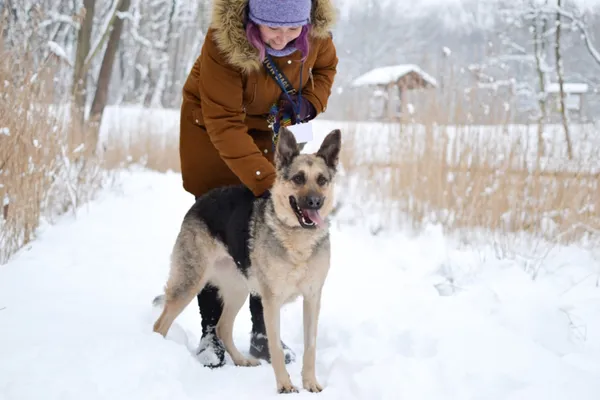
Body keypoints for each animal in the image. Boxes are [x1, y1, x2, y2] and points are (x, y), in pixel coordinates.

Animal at [154, 128, 342, 394]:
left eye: (322, 180)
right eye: (298, 178)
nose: (315, 202)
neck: (297, 239)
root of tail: (203, 200)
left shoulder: (312, 298)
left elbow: (311, 347)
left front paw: (310, 382)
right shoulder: (271, 301)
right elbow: (275, 347)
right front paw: (284, 385)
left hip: (239, 289)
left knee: (222, 326)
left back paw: (241, 360)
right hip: (190, 282)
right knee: (161, 324)